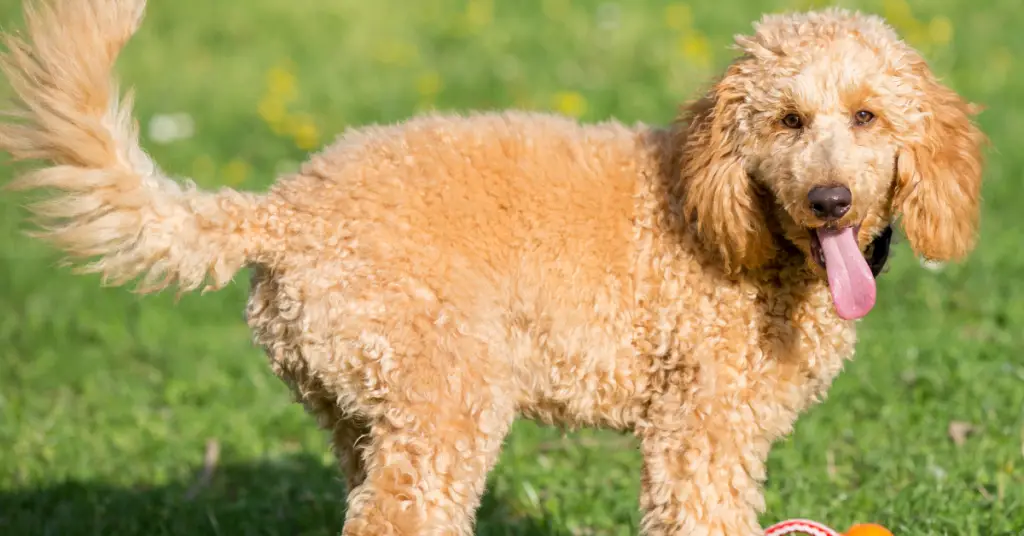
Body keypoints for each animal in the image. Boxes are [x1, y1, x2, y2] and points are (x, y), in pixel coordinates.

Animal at [2, 0, 991, 532]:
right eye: (787, 120)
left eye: (866, 116)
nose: (830, 199)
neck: (735, 220)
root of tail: (283, 209)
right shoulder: (700, 428)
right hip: (449, 393)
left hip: (366, 411)